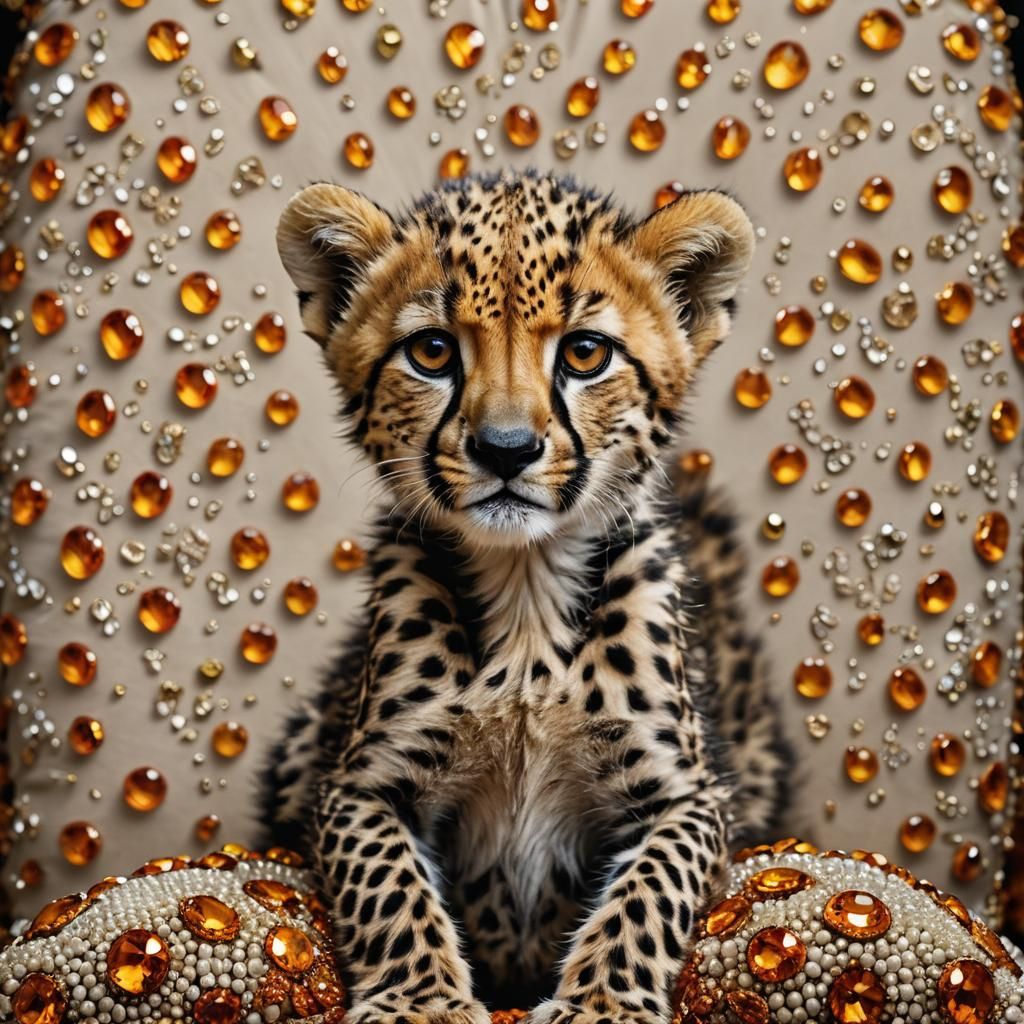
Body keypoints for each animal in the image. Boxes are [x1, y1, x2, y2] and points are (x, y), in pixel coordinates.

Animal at [262, 170, 791, 1024]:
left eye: (584, 352)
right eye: (433, 350)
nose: (505, 450)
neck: (525, 595)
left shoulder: (688, 796)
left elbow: (652, 890)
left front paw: (604, 1002)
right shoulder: (357, 784)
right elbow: (388, 885)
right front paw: (420, 1000)